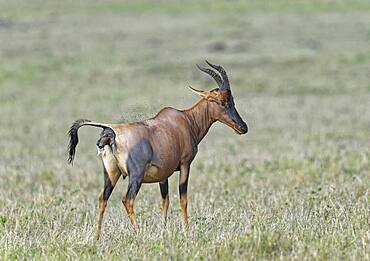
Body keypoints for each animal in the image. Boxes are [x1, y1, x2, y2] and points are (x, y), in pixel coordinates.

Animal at [68, 60, 249, 239]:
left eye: (232, 100)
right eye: (222, 102)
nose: (243, 127)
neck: (185, 120)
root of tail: (111, 131)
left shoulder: (163, 174)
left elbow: (165, 201)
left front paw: (164, 230)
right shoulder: (185, 164)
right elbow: (183, 198)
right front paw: (186, 231)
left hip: (111, 174)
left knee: (102, 199)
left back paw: (97, 238)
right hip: (136, 176)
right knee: (128, 200)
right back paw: (139, 234)